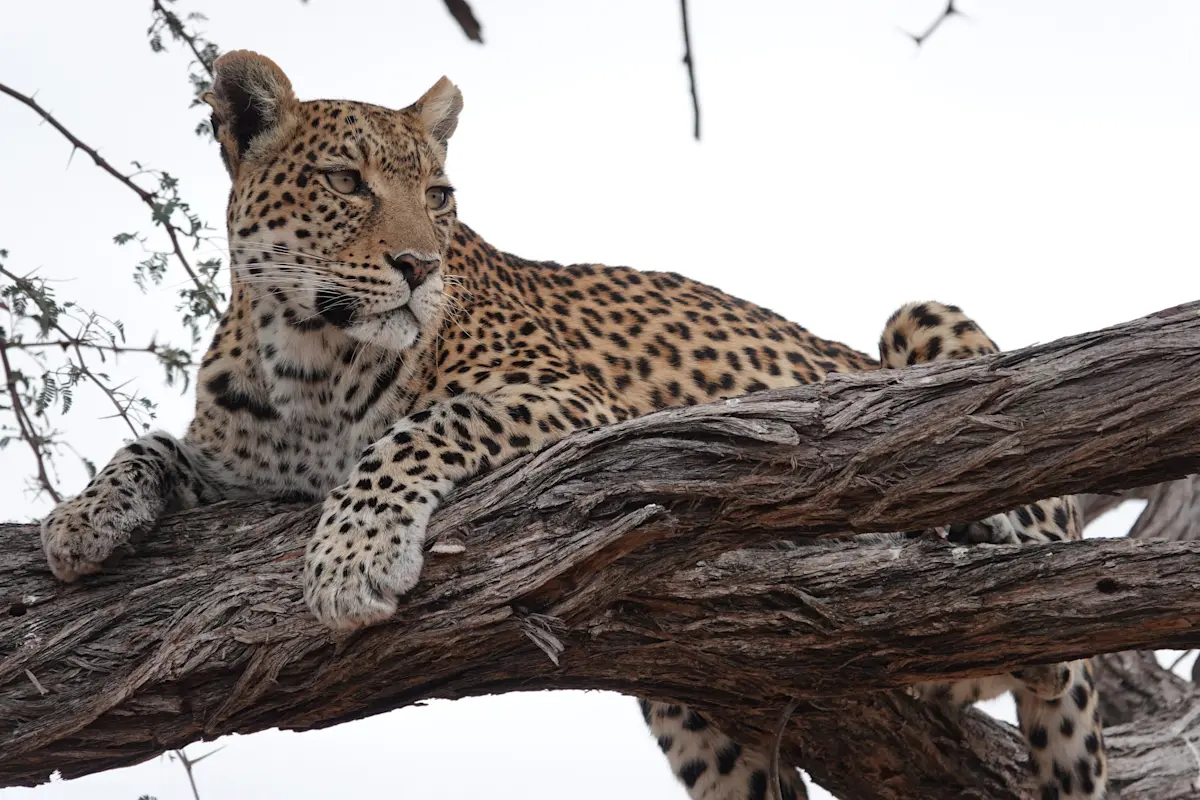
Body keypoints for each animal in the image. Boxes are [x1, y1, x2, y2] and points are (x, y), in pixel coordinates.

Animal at [39, 50, 1105, 800]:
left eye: (438, 196)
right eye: (346, 182)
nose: (420, 268)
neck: (306, 352)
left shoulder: (571, 406)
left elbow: (412, 434)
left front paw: (352, 559)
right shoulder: (240, 471)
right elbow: (151, 445)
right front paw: (80, 521)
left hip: (922, 326)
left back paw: (965, 537)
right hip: (693, 712)